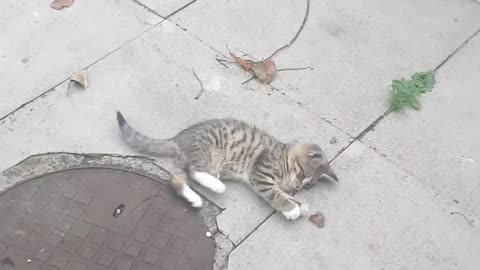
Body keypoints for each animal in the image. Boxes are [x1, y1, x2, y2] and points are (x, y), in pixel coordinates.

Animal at [116, 112, 338, 219]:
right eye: (301, 174)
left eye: (308, 185)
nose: (297, 187)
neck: (284, 155)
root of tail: (178, 138)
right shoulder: (261, 174)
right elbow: (275, 194)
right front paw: (291, 209)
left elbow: (282, 193)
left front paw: (297, 203)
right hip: (206, 149)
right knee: (195, 170)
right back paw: (217, 185)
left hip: (183, 161)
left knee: (177, 179)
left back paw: (195, 198)